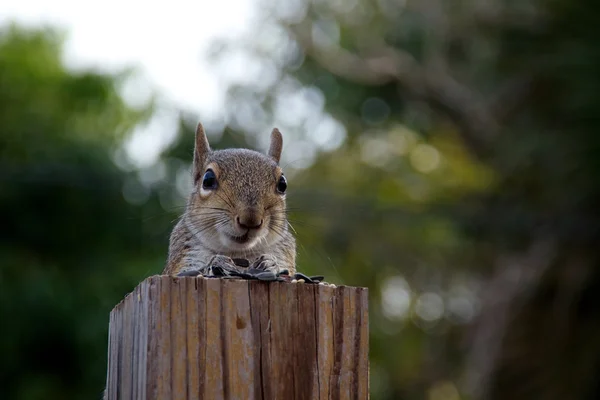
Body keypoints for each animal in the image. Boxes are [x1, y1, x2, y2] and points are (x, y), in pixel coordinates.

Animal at [163, 123, 296, 276]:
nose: (250, 219)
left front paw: (271, 264)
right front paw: (216, 263)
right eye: (208, 180)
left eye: (283, 184)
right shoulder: (182, 259)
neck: (237, 253)